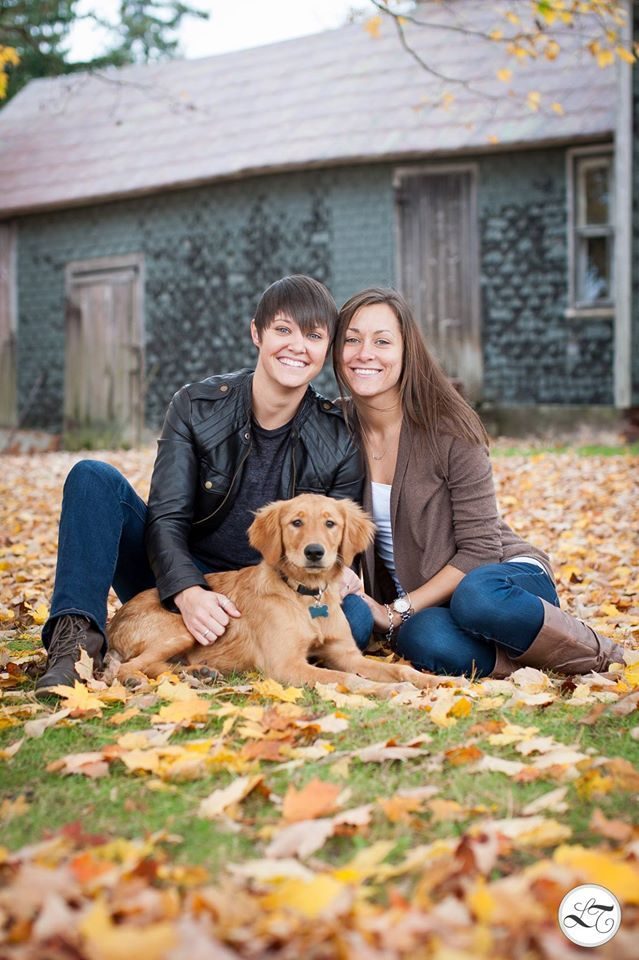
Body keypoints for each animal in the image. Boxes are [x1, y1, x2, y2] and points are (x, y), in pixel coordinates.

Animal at [107, 496, 438, 688]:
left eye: (331, 523)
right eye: (296, 522)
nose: (314, 552)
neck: (306, 596)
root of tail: (115, 621)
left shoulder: (346, 654)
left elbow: (400, 671)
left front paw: (433, 681)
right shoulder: (285, 665)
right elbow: (344, 679)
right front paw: (383, 690)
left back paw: (198, 673)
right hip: (183, 628)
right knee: (126, 666)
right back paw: (135, 679)